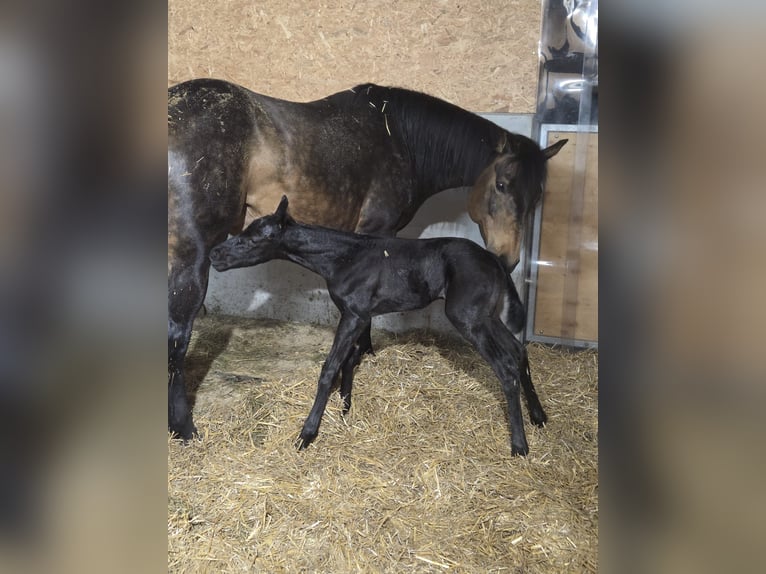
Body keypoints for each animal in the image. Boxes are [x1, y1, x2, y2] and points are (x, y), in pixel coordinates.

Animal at [210, 196, 547, 455]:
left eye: (254, 238)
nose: (215, 254)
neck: (344, 258)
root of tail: (496, 262)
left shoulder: (354, 314)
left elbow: (330, 368)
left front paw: (307, 433)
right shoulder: (357, 314)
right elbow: (349, 360)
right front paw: (345, 409)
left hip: (468, 318)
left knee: (505, 365)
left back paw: (519, 446)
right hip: (486, 316)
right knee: (518, 351)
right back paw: (539, 416)